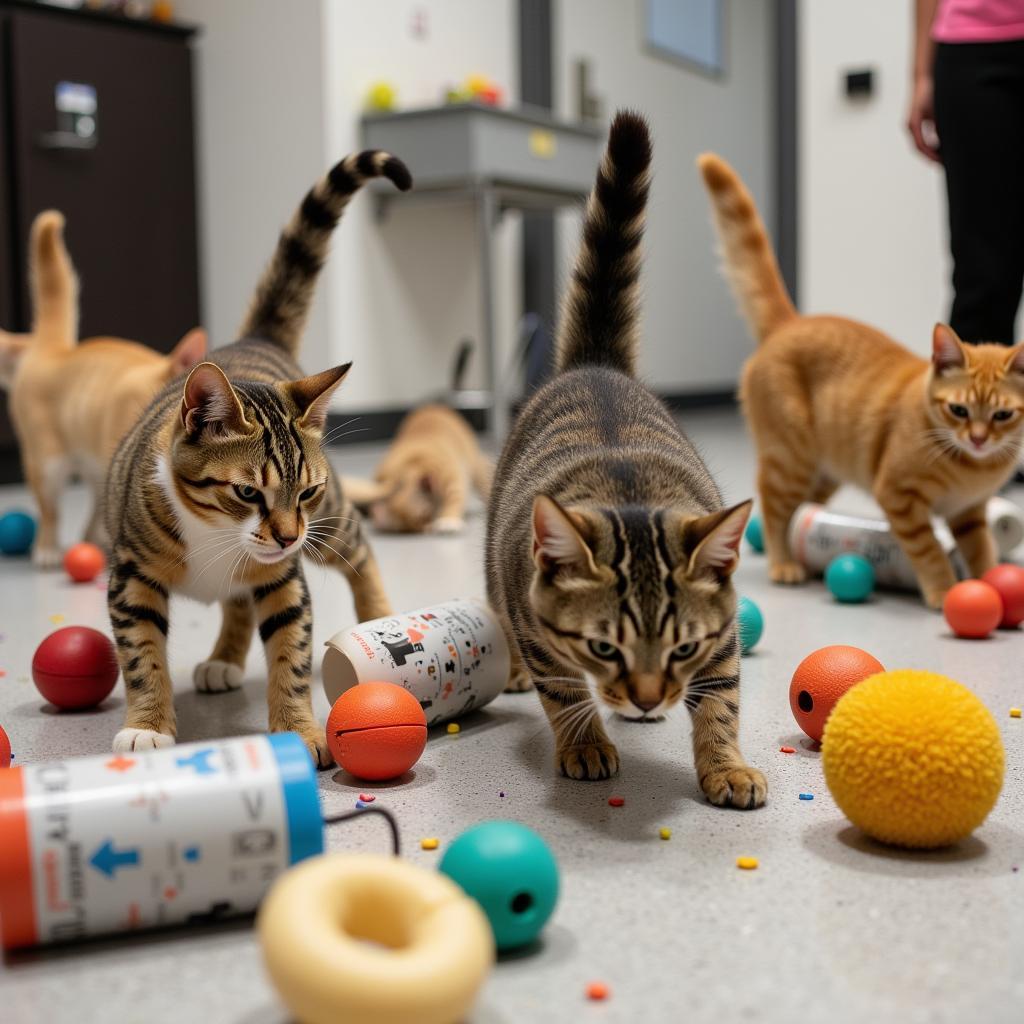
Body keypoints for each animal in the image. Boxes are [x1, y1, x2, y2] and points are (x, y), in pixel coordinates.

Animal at [1, 206, 205, 561]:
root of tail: (52, 348)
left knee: (92, 514)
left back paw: (95, 541)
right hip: (47, 461)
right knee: (50, 510)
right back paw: (48, 550)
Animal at [103, 149, 407, 761]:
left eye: (305, 491)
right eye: (247, 492)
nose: (288, 536)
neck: (216, 535)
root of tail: (256, 339)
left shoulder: (285, 579)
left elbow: (290, 655)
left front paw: (297, 729)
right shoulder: (130, 576)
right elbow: (142, 656)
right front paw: (148, 724)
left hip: (330, 526)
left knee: (359, 549)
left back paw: (377, 613)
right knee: (237, 601)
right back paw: (223, 658)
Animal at [487, 105, 770, 806]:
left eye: (681, 650)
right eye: (603, 648)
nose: (645, 699)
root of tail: (596, 363)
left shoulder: (721, 643)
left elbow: (721, 703)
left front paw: (726, 765)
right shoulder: (538, 628)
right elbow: (563, 693)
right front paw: (584, 745)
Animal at [696, 151, 1024, 606]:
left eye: (1002, 416)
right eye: (958, 410)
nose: (978, 439)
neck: (972, 468)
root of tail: (792, 322)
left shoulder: (970, 513)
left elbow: (982, 551)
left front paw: (993, 581)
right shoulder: (900, 498)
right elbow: (930, 550)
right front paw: (944, 590)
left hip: (824, 472)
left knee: (799, 511)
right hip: (790, 458)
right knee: (774, 507)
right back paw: (783, 563)